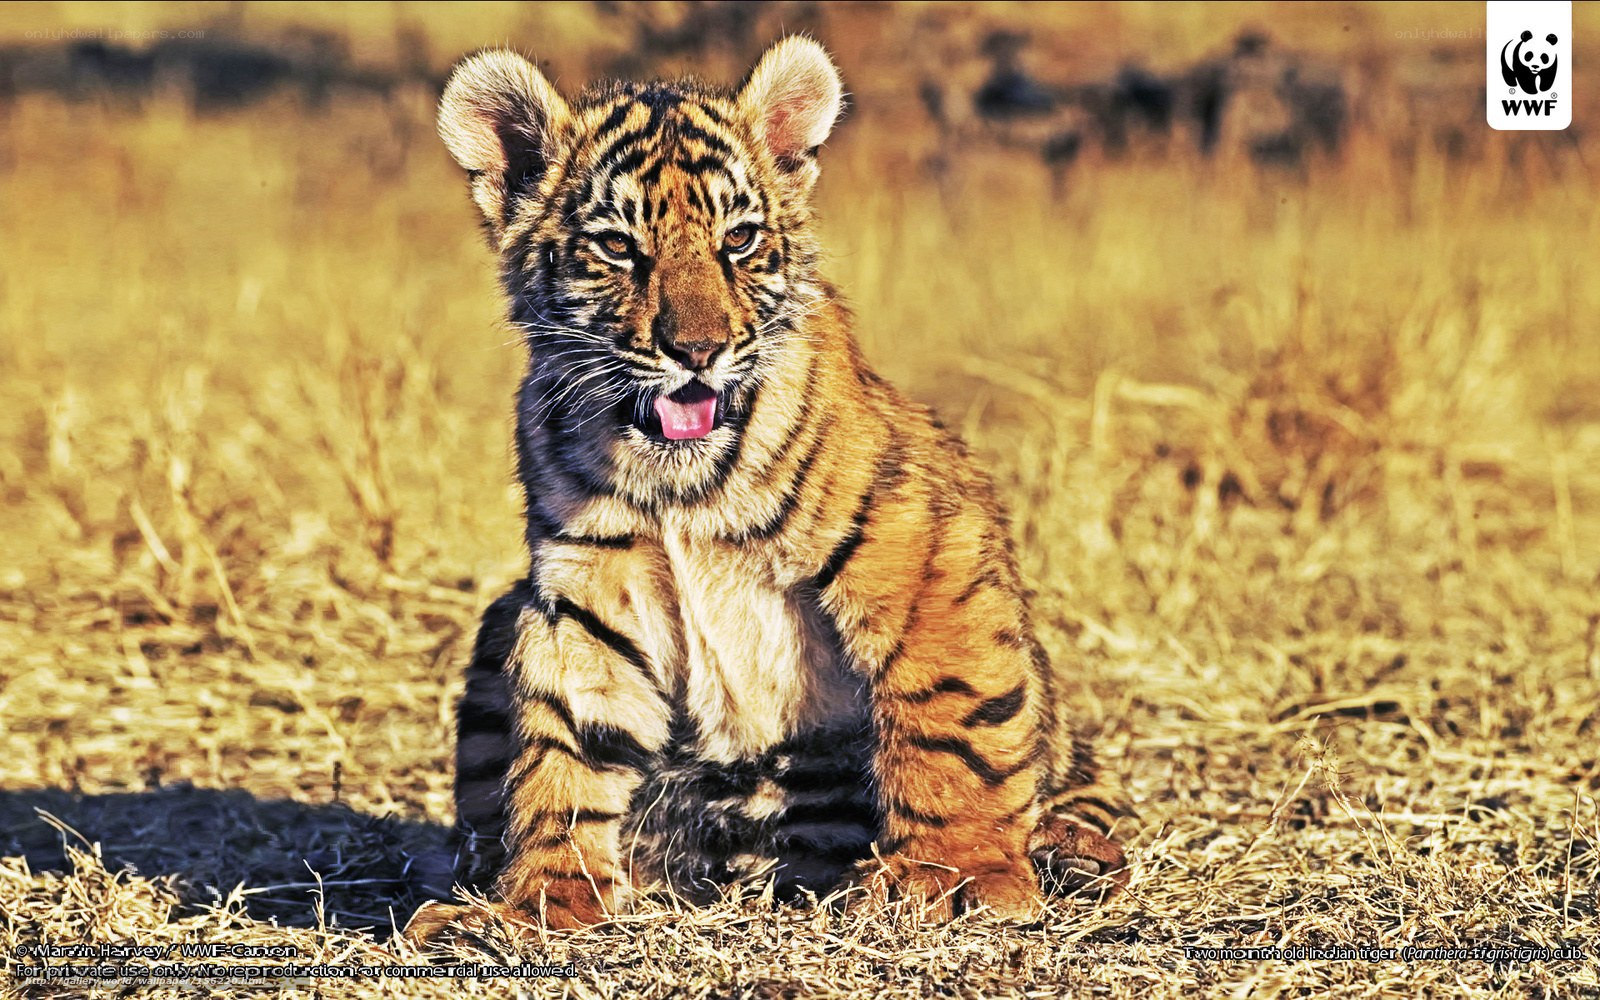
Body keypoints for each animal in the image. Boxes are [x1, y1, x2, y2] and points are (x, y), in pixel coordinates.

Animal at [406, 36, 1128, 940]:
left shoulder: (925, 543)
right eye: (618, 248)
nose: (697, 351)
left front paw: (958, 879)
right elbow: (565, 742)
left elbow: (952, 711)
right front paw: (542, 900)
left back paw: (1069, 854)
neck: (677, 482)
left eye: (740, 239)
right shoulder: (587, 585)